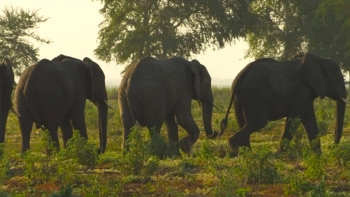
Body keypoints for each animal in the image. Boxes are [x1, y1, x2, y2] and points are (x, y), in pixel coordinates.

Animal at [220, 52, 348, 157]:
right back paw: (237, 151)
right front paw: (279, 154)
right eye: (338, 79)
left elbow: (309, 118)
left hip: (240, 98)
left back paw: (247, 153)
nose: (332, 147)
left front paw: (318, 156)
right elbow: (295, 118)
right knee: (258, 122)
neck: (320, 59)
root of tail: (240, 77)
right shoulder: (301, 91)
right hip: (255, 95)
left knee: (243, 122)